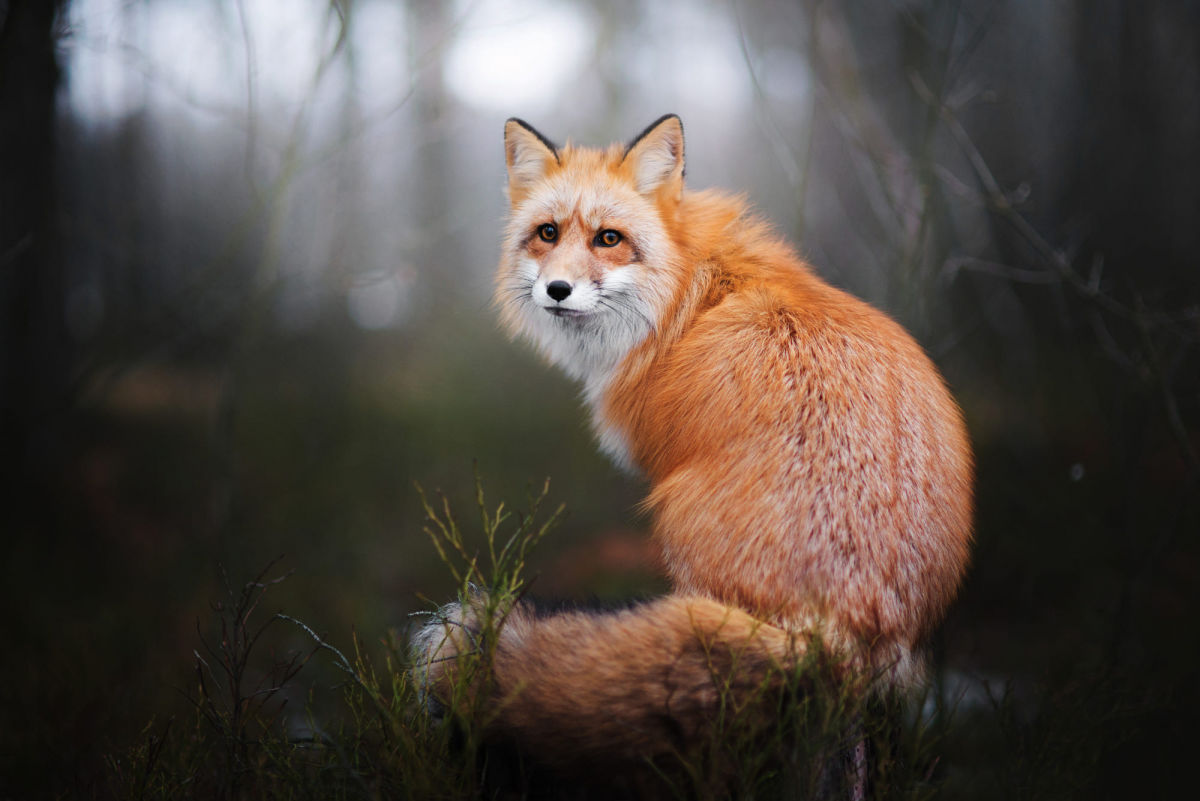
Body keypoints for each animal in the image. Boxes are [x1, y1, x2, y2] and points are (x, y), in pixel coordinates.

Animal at [415, 115, 974, 772]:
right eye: (547, 233)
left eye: (608, 238)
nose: (556, 289)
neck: (689, 292)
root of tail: (843, 626)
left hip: (676, 527)